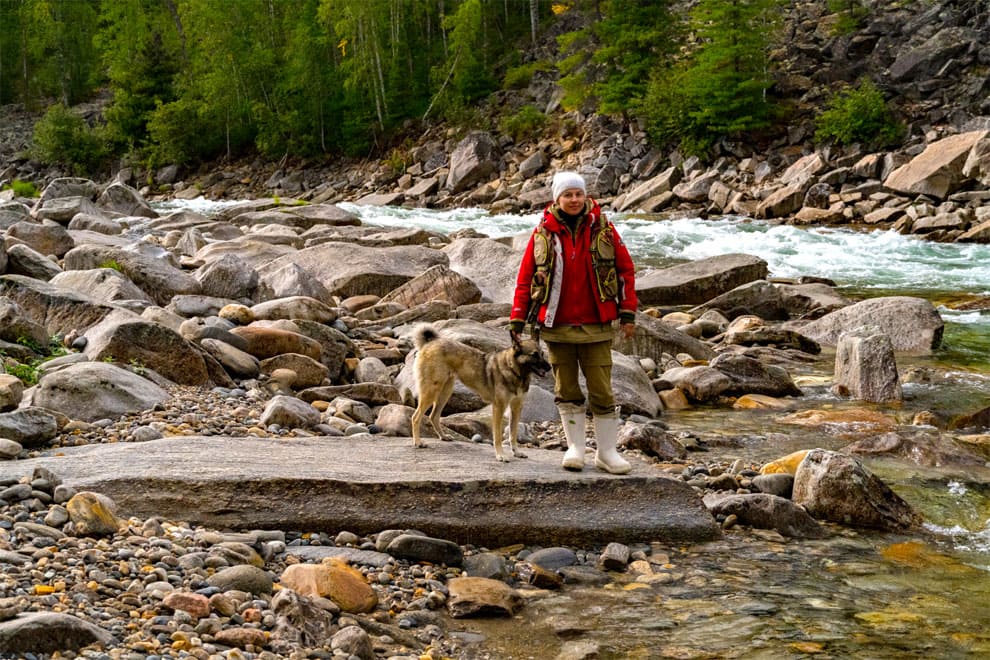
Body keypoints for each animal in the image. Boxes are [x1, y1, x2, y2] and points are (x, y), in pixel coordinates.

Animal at [408, 326, 552, 462]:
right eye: (534, 355)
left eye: (542, 353)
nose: (550, 367)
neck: (514, 371)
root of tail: (430, 343)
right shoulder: (499, 407)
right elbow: (497, 436)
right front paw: (500, 455)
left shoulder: (516, 408)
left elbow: (513, 433)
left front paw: (516, 452)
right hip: (431, 392)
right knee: (416, 417)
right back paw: (418, 442)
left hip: (445, 392)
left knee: (433, 416)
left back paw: (443, 436)